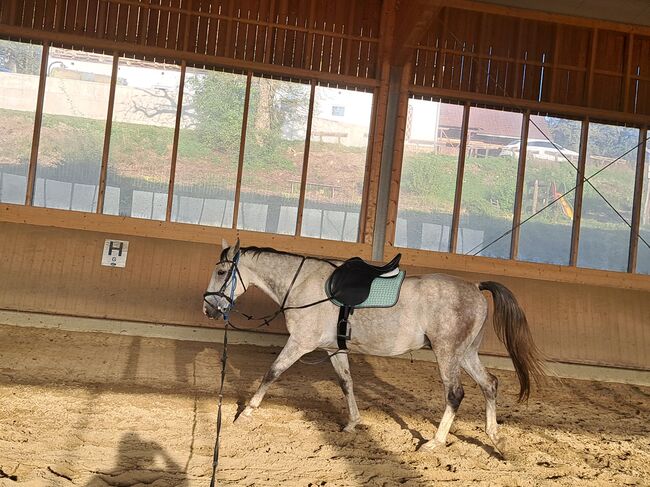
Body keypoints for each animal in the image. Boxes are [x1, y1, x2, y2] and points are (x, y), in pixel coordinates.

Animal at [201, 238, 540, 456]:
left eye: (221, 272)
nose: (209, 309)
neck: (303, 284)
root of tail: (475, 287)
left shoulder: (300, 343)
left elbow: (272, 372)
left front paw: (246, 412)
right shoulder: (334, 349)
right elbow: (346, 383)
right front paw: (353, 423)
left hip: (447, 354)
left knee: (455, 394)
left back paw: (435, 441)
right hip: (466, 354)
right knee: (490, 385)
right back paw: (494, 437)